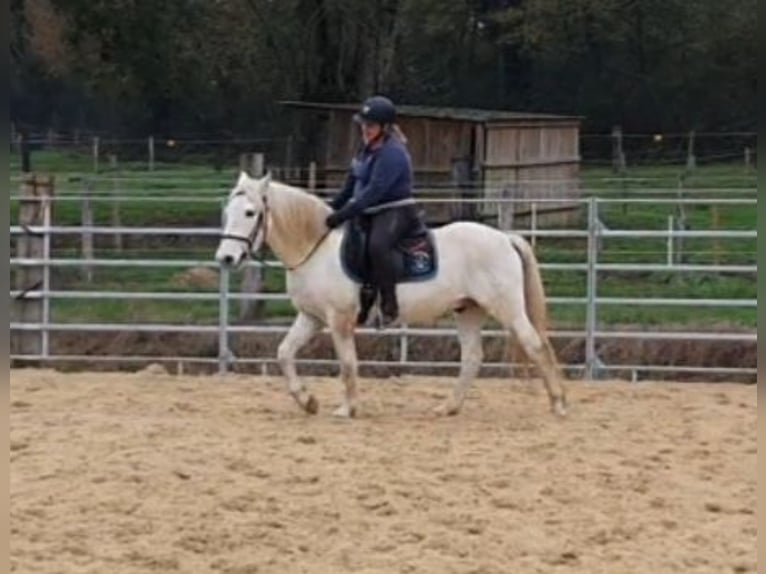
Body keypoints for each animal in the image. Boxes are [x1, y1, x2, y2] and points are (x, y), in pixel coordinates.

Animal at [213, 171, 568, 418]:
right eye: (227, 210)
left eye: (250, 213)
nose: (226, 258)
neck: (317, 249)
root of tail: (504, 237)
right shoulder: (311, 317)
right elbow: (284, 352)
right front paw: (307, 401)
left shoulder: (339, 320)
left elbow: (347, 363)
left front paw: (348, 408)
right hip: (468, 310)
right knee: (472, 358)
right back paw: (448, 408)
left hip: (507, 309)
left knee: (536, 345)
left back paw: (559, 404)